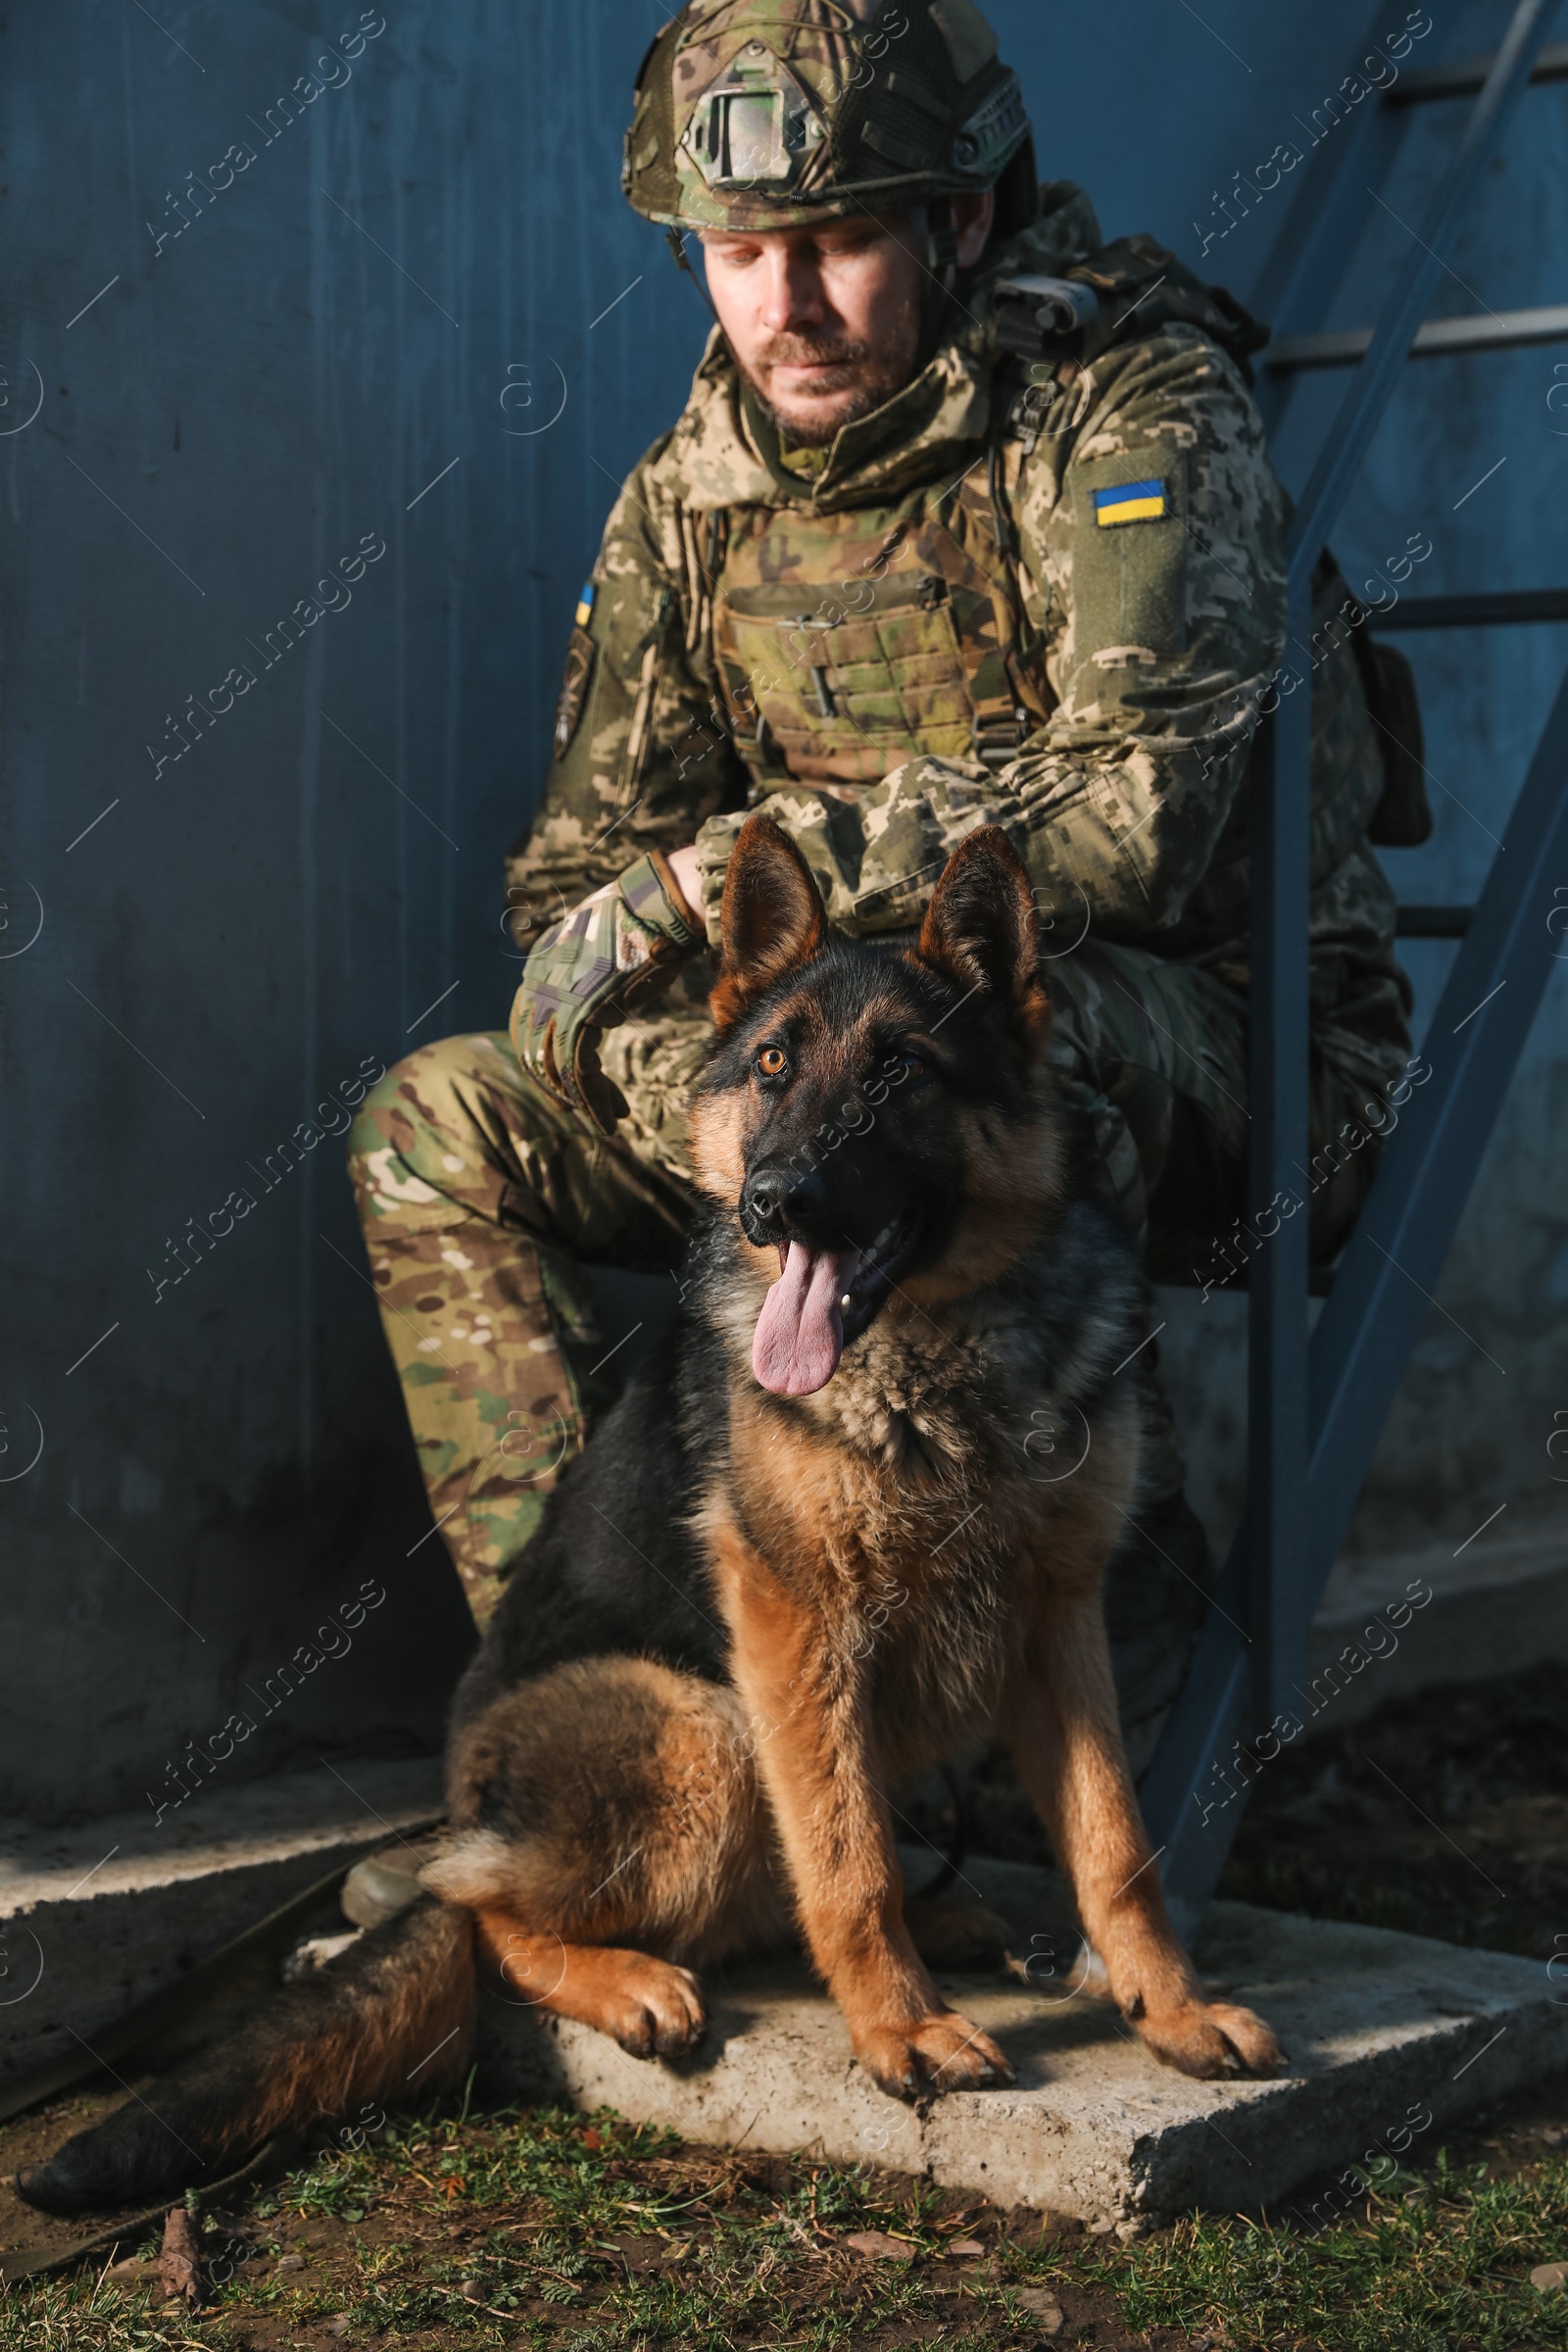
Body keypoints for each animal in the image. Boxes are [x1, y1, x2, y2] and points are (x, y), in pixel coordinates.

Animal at [18, 818, 1278, 2211]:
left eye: (901, 1072)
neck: (938, 1351)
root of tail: (474, 1800)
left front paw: (1168, 2010)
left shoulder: (1060, 1619)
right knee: (491, 1911)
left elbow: (1116, 1845)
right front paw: (897, 2028)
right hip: (704, 1727)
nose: (773, 1199)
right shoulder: (796, 1624)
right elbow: (844, 1858)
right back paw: (632, 1979)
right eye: (774, 1066)